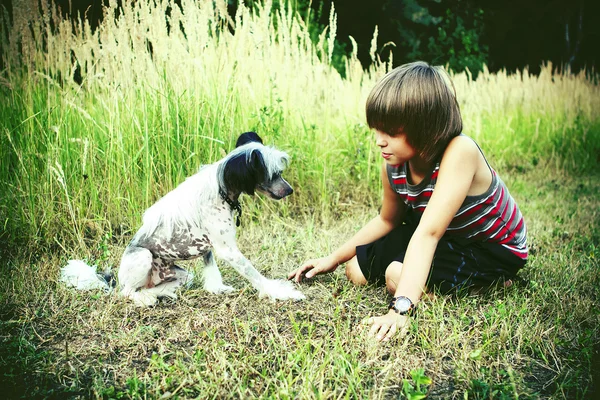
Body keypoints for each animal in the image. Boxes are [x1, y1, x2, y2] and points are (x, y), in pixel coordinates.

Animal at [62, 132, 304, 306]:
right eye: (273, 174)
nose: (290, 190)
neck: (221, 188)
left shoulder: (208, 247)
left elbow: (211, 269)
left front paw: (217, 288)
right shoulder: (228, 251)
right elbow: (255, 275)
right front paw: (280, 292)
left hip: (182, 276)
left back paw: (161, 293)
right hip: (142, 257)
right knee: (126, 293)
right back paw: (146, 299)